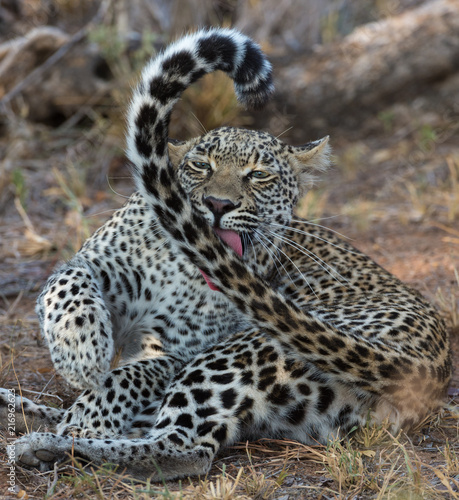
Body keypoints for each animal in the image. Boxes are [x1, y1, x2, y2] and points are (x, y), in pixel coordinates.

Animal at [1, 27, 452, 480]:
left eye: (260, 176)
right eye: (202, 165)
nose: (218, 205)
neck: (177, 269)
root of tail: (428, 370)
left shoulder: (174, 353)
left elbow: (124, 379)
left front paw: (87, 411)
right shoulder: (102, 265)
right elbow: (66, 281)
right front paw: (79, 351)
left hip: (238, 352)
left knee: (180, 447)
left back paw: (50, 442)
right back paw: (25, 411)